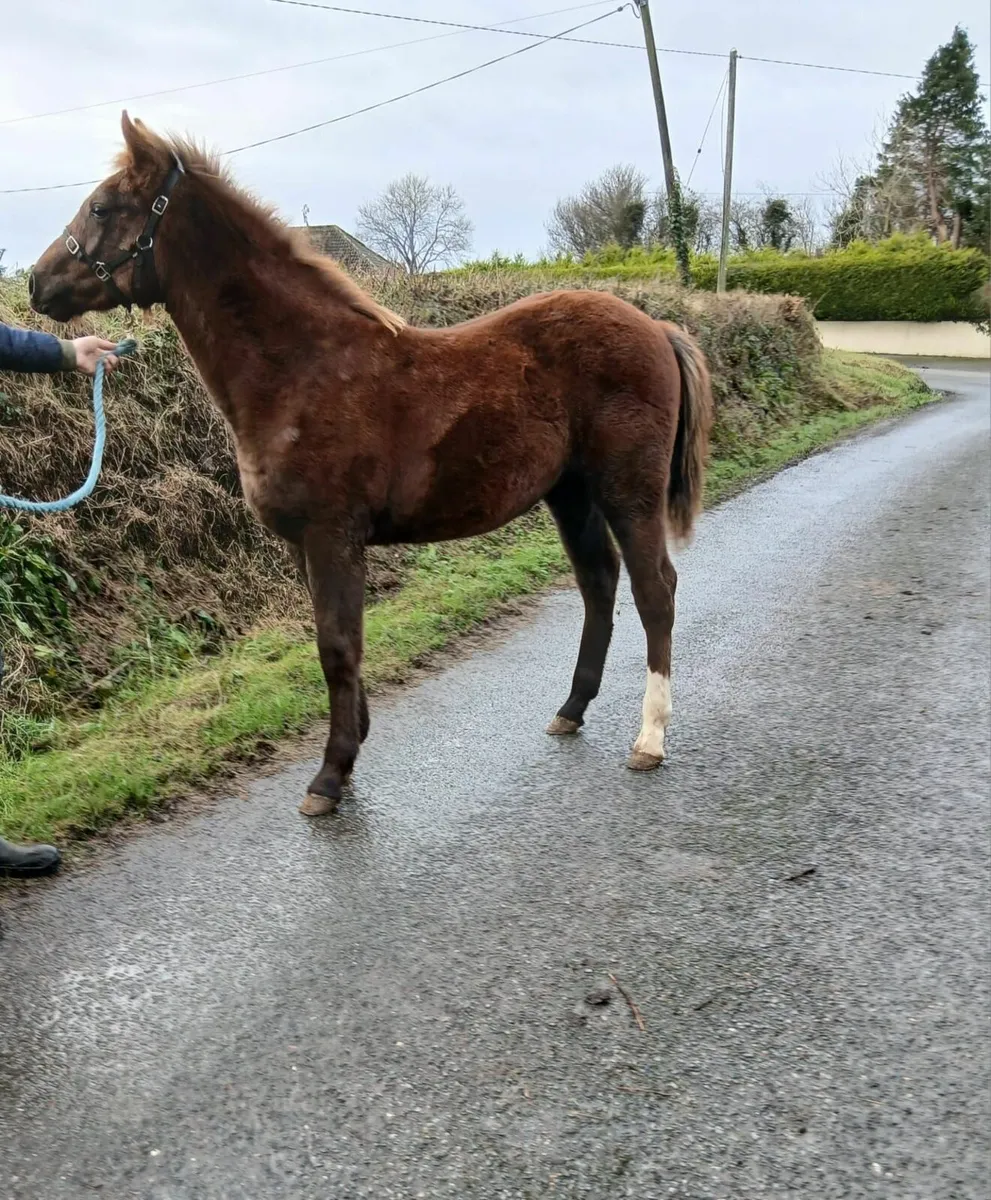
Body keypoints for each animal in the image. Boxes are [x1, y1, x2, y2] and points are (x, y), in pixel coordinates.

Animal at [29, 113, 713, 817]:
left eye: (102, 207)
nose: (35, 283)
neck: (300, 368)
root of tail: (658, 327)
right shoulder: (306, 544)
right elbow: (336, 645)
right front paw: (350, 747)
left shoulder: (332, 534)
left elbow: (337, 646)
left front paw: (329, 777)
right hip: (570, 493)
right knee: (599, 584)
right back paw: (571, 709)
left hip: (628, 490)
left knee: (655, 590)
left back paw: (649, 738)